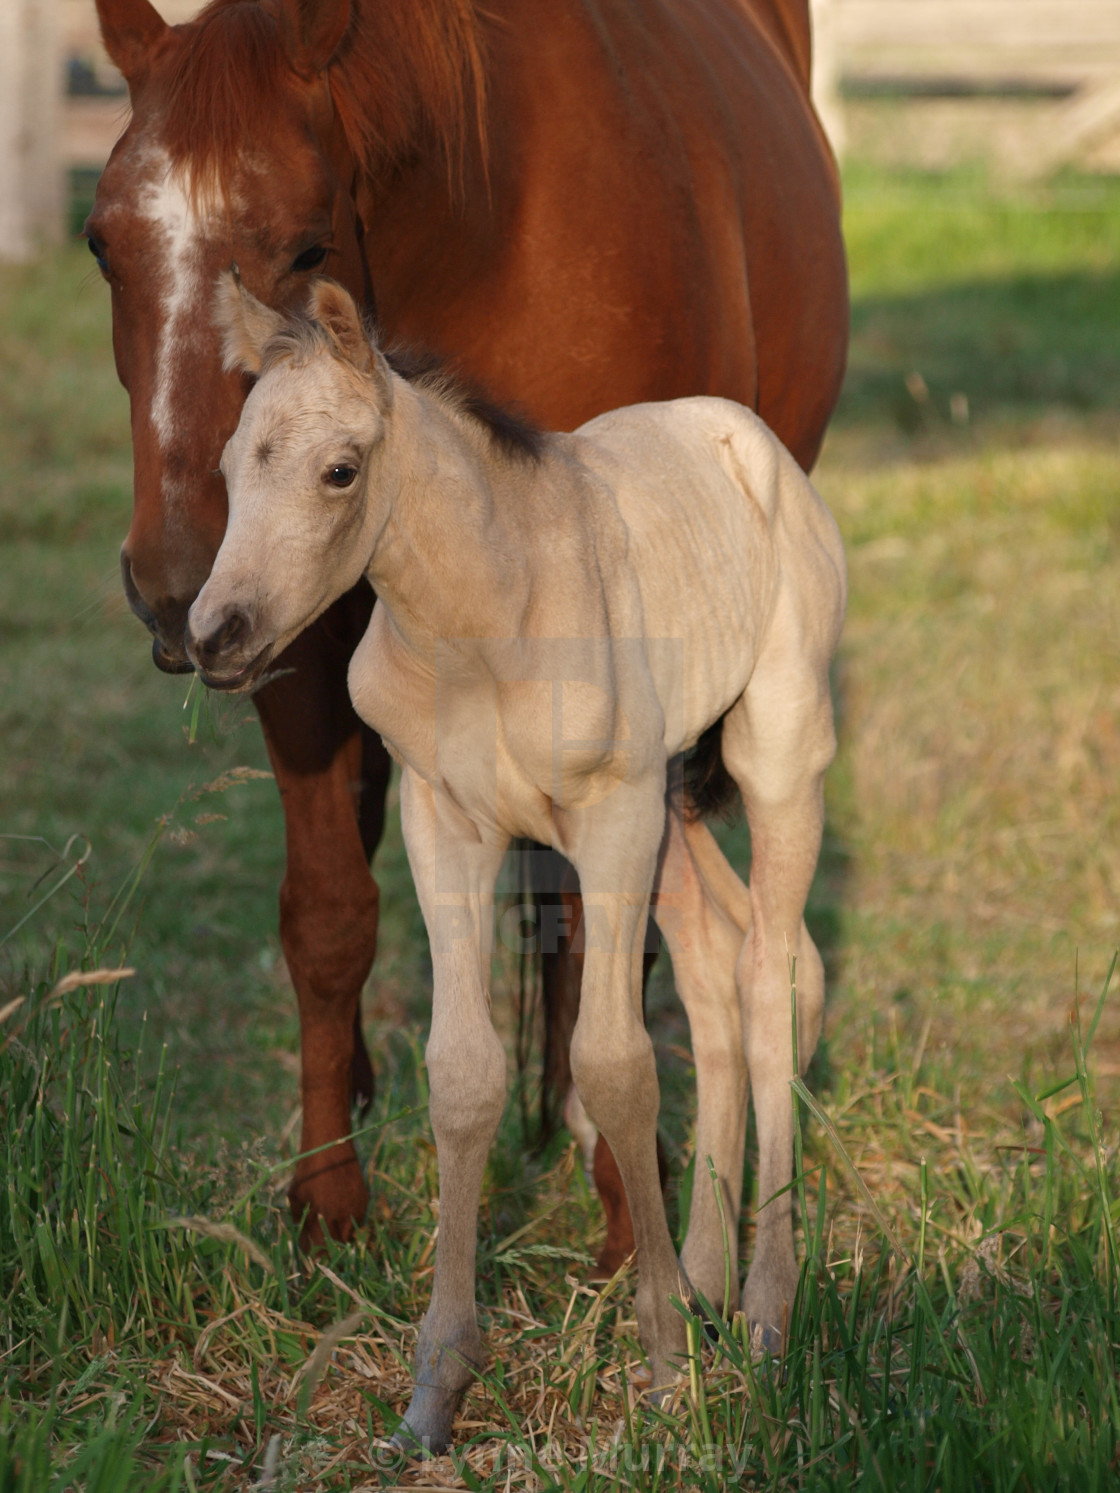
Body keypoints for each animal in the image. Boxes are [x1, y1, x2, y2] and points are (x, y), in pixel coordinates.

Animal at [188, 274, 848, 1451]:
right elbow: (463, 1073)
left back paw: (765, 1315)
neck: (485, 625)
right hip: (673, 804)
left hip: (775, 752)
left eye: (340, 469)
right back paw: (709, 1282)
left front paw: (664, 1369)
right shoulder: (443, 819)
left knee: (775, 974)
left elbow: (616, 1066)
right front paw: (435, 1390)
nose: (215, 635)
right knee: (719, 968)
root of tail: (749, 438)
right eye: (227, 469)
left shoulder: (609, 814)